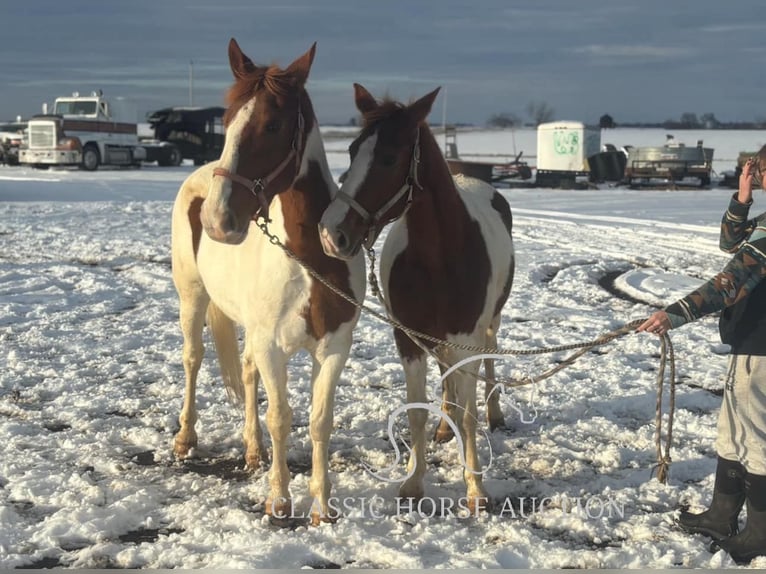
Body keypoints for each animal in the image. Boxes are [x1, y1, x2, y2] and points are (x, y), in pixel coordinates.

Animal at [172, 39, 364, 528]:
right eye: (226, 121)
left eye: (273, 123)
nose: (218, 220)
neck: (308, 259)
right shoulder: (272, 345)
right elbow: (280, 416)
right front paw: (278, 499)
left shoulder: (333, 346)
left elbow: (318, 419)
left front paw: (322, 506)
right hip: (192, 298)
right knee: (193, 359)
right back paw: (185, 438)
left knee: (244, 371)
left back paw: (252, 450)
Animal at [318, 83, 516, 510]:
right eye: (352, 150)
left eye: (390, 157)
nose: (331, 233)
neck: (440, 257)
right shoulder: (408, 339)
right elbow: (416, 413)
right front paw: (413, 481)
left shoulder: (468, 338)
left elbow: (469, 414)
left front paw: (476, 488)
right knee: (446, 381)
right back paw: (444, 426)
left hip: (489, 325)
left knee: (489, 360)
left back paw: (495, 414)